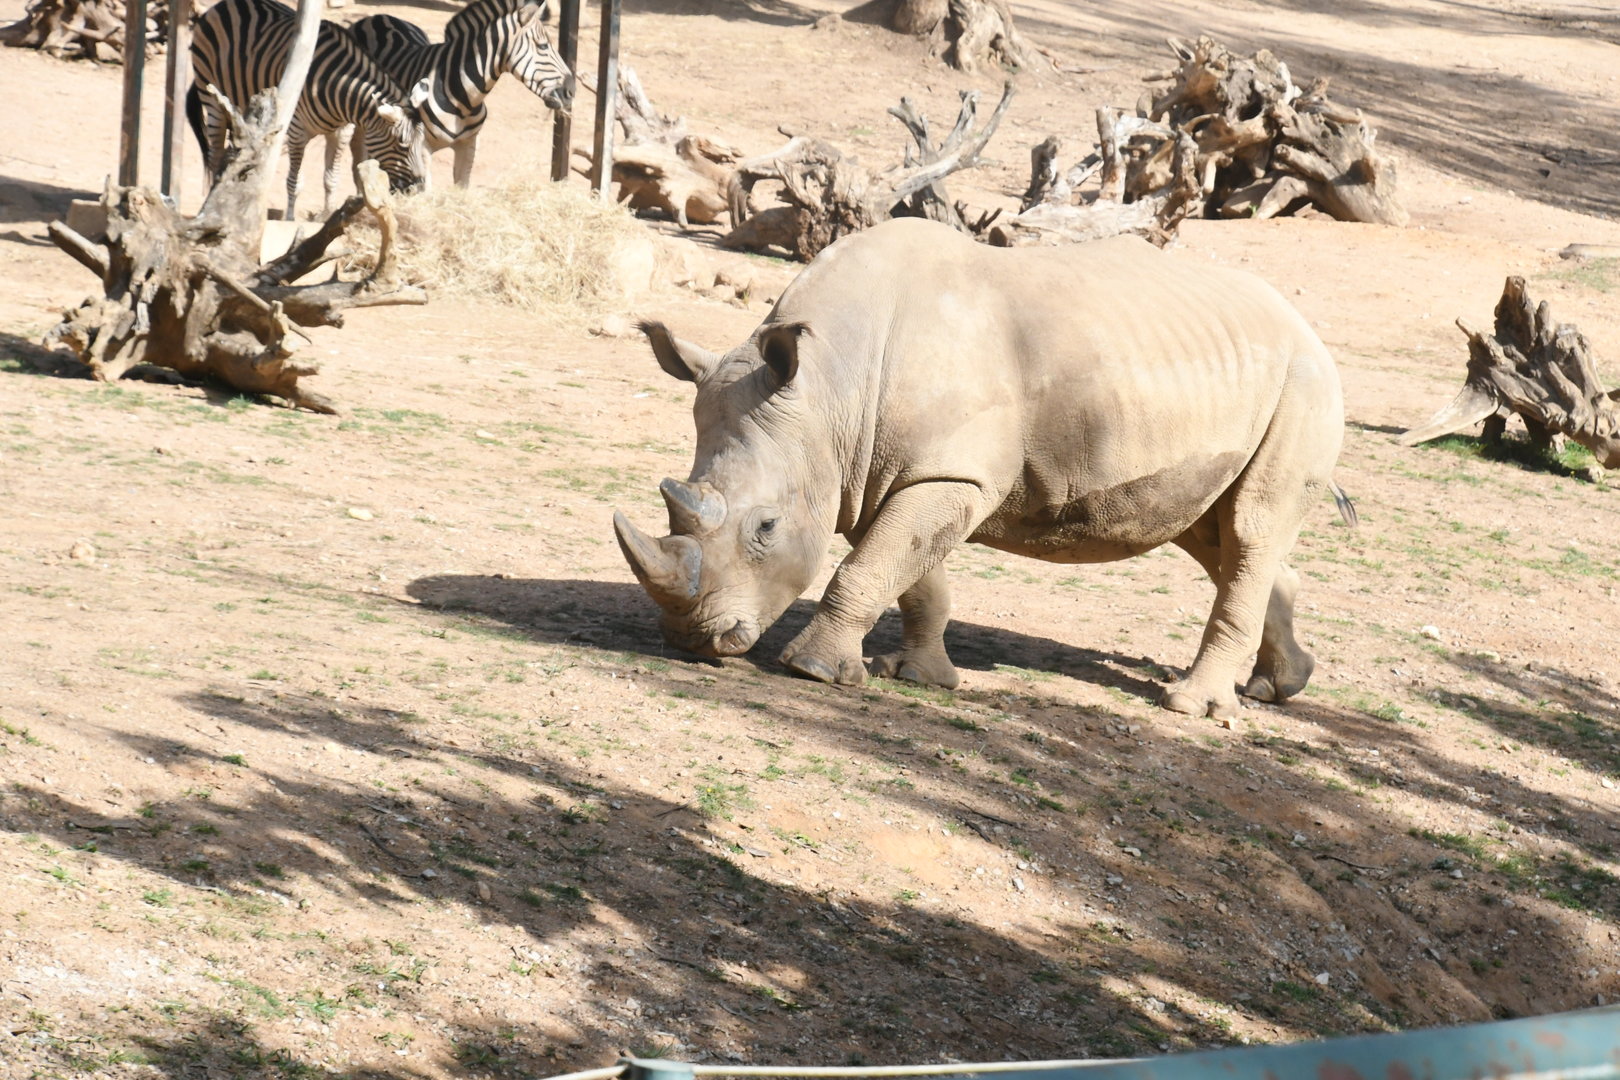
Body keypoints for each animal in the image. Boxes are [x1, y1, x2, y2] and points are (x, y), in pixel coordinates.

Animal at [613, 218, 1348, 719]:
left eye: (766, 528)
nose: (693, 639)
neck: (831, 389)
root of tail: (1302, 322)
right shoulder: (880, 470)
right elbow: (909, 572)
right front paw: (917, 675)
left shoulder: (942, 474)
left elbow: (871, 566)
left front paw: (814, 672)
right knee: (1214, 534)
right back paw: (1279, 685)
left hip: (1304, 379)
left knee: (1249, 528)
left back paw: (1190, 706)